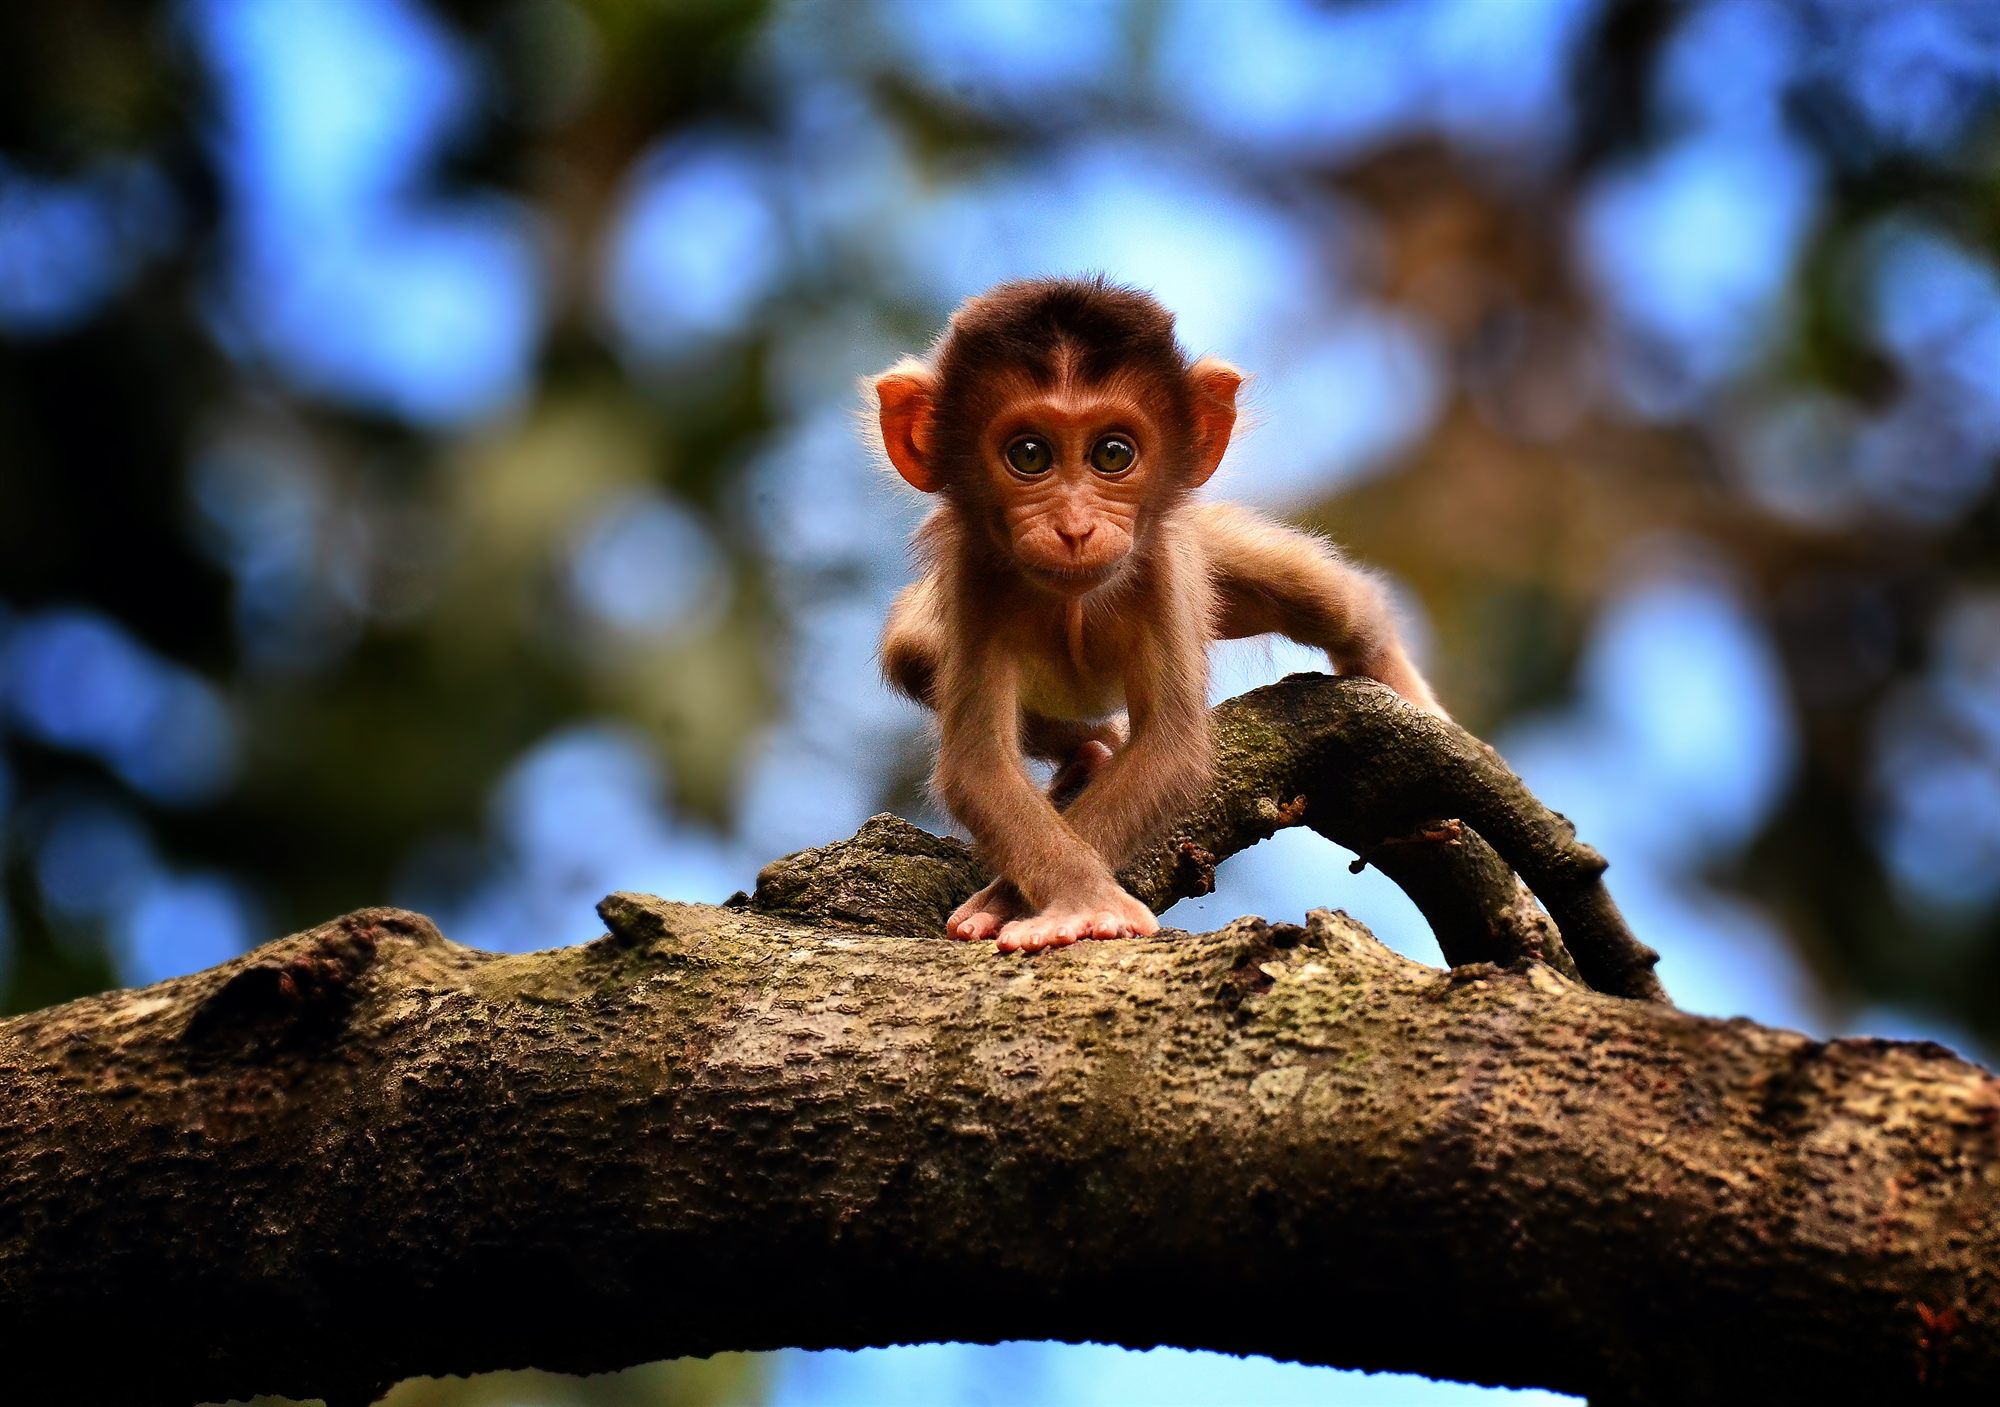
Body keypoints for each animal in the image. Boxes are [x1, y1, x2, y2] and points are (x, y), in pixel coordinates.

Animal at [874, 276, 1443, 955]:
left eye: (1113, 454)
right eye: (1030, 456)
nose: (1075, 528)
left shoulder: (1166, 568)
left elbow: (1170, 745)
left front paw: (1035, 902)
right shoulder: (972, 575)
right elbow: (979, 762)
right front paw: (1072, 897)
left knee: (1329, 601)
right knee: (912, 652)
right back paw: (1087, 751)